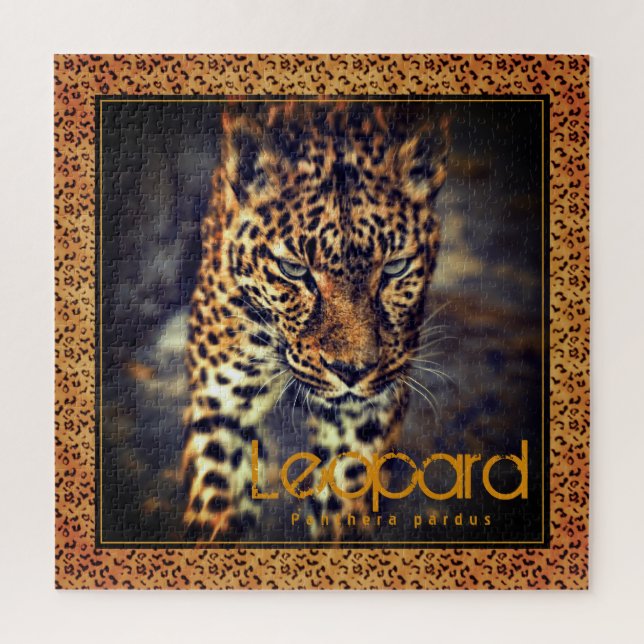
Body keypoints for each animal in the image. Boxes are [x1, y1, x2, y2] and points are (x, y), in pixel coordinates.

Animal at [181, 101, 449, 541]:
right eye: (293, 270)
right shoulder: (221, 407)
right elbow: (219, 496)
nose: (351, 371)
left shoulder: (362, 418)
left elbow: (345, 496)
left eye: (395, 268)